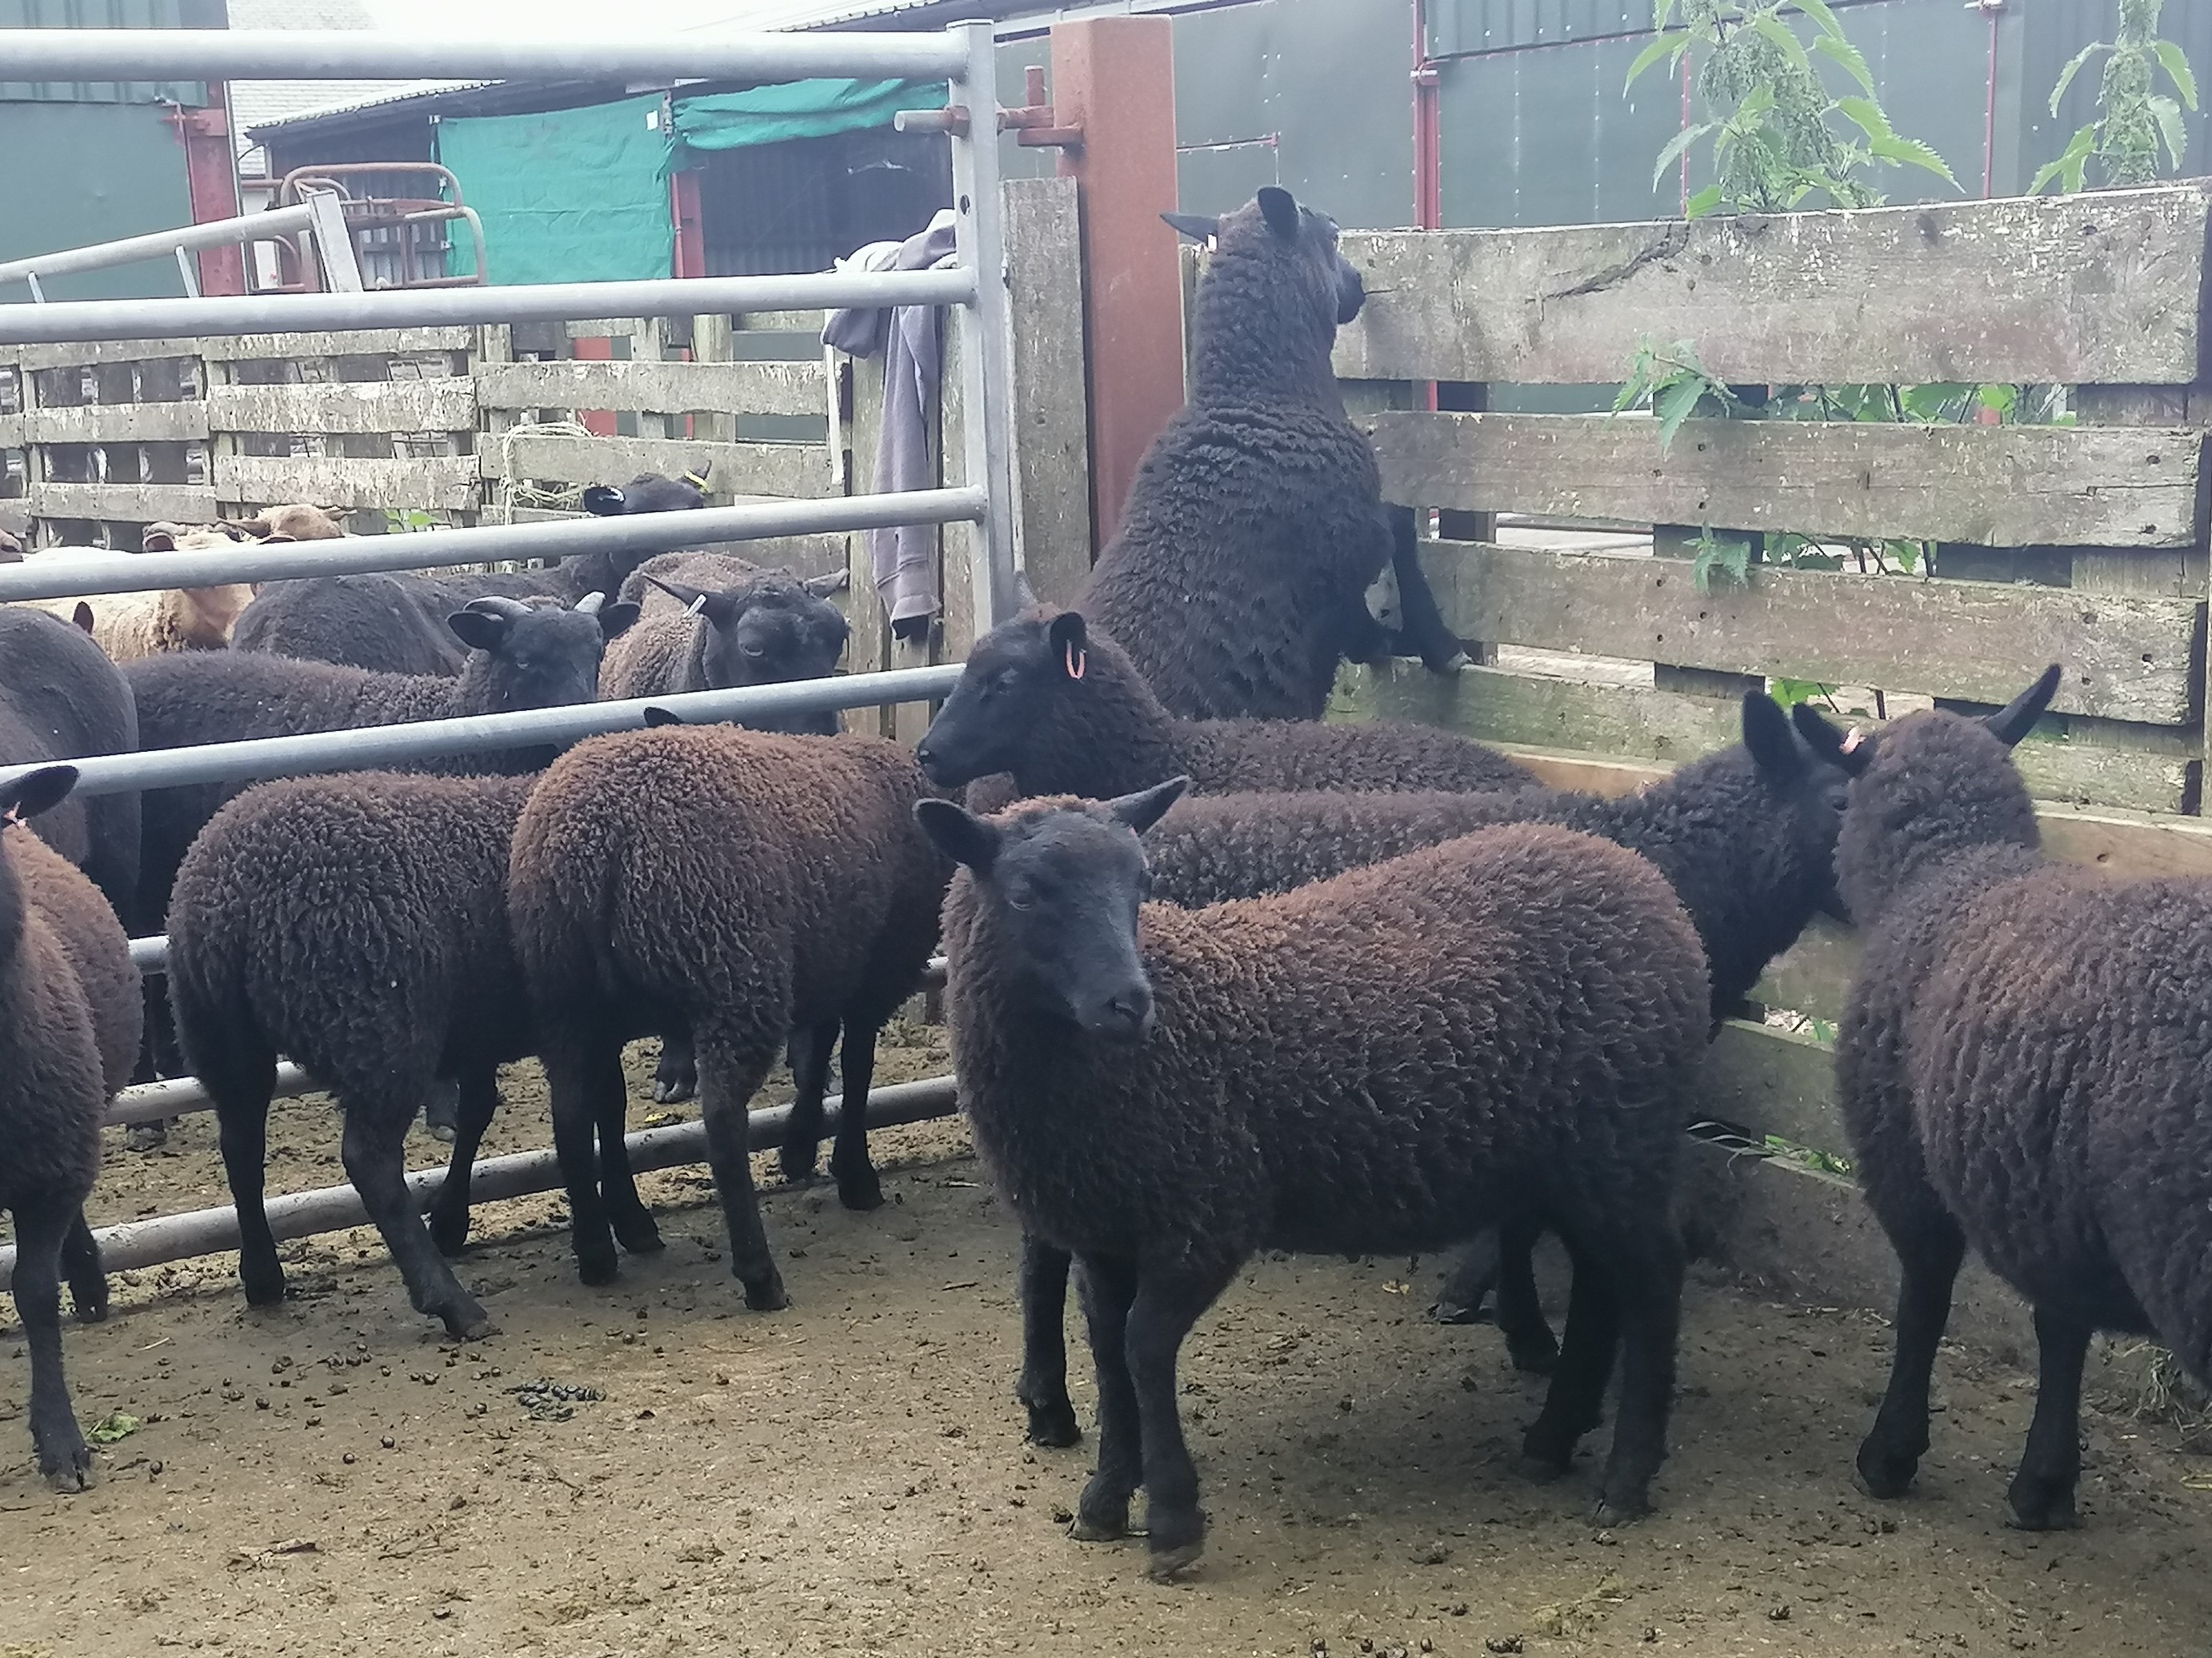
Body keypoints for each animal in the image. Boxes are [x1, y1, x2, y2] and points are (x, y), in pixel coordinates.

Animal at [507, 724, 948, 1300]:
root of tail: (597, 839)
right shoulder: (875, 971)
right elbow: (855, 1069)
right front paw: (854, 1174)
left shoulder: (829, 961)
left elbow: (820, 1052)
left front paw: (800, 1148)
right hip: (732, 972)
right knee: (720, 1121)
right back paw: (759, 1274)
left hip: (564, 996)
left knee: (571, 1119)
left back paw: (597, 1254)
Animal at [923, 785, 1706, 1575]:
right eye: (1024, 891)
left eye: (1141, 884)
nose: (1129, 1003)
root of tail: (1644, 882)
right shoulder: (1104, 1232)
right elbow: (1110, 1354)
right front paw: (1106, 1499)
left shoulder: (1205, 1216)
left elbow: (1143, 1346)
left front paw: (1173, 1520)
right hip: (1577, 1163)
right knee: (1601, 1287)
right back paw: (1552, 1439)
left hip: (1622, 1145)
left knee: (1653, 1282)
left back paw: (1625, 1478)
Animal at [1004, 691, 1862, 1444]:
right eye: (1843, 800)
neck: (1681, 858)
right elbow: (1519, 1218)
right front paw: (1515, 1325)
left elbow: (1518, 1210)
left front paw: (1511, 1319)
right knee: (1044, 1245)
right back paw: (1048, 1401)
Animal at [1071, 188, 1460, 724]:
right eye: (1332, 235)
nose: (1360, 285)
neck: (1255, 399)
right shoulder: (1352, 553)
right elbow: (1399, 531)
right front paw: (1442, 645)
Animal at [1819, 664, 2212, 1531]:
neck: (1950, 867)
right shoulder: (2050, 1200)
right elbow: (2060, 1326)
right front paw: (2045, 1485)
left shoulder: (1907, 1171)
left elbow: (1923, 1300)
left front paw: (1888, 1454)